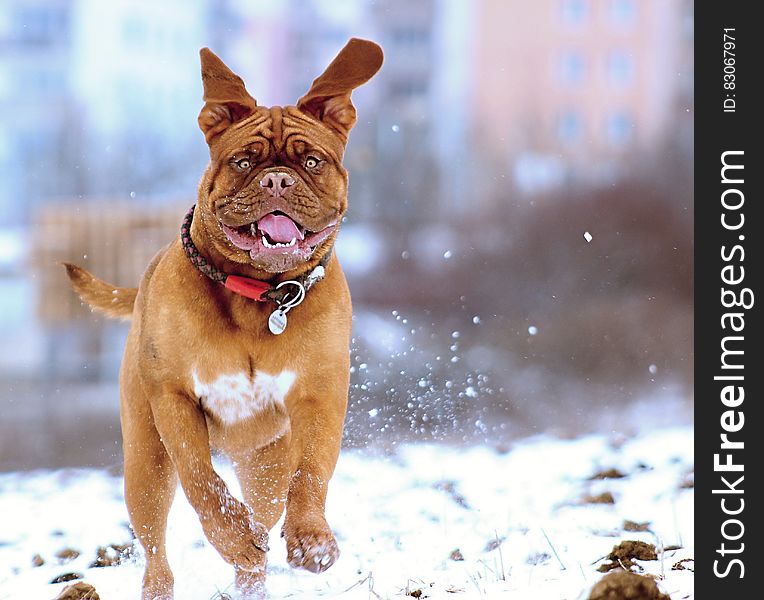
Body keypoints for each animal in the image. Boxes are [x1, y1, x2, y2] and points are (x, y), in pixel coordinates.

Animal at [64, 38, 382, 600]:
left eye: (312, 160)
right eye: (243, 160)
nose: (276, 179)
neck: (260, 295)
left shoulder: (320, 396)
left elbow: (312, 471)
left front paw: (312, 540)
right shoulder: (174, 399)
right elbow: (201, 479)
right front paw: (233, 537)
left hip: (265, 465)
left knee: (270, 504)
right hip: (144, 462)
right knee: (156, 544)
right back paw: (170, 582)